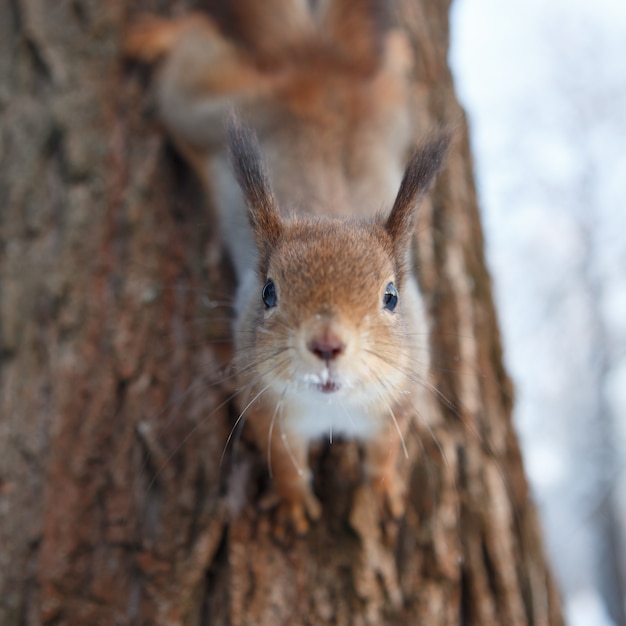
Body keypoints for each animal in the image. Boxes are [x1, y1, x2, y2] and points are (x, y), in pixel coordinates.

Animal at [123, 0, 444, 532]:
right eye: (268, 293)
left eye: (392, 297)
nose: (327, 345)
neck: (332, 404)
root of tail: (315, 69)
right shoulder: (263, 404)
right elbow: (286, 460)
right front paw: (293, 502)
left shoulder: (401, 399)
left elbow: (384, 454)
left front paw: (382, 490)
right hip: (194, 108)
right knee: (192, 47)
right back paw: (153, 34)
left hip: (398, 112)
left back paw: (397, 50)